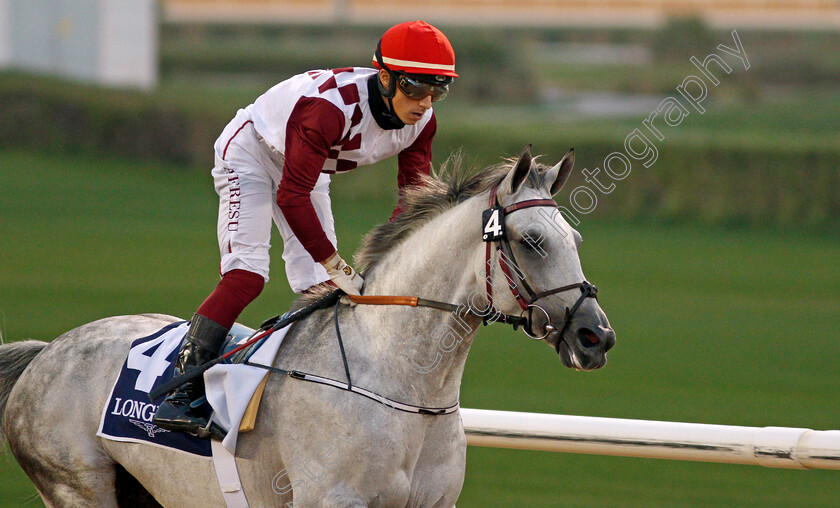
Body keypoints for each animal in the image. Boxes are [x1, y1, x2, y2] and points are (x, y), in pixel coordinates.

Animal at [1, 149, 616, 506]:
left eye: (576, 239)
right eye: (532, 241)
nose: (597, 336)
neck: (402, 383)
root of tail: (46, 352)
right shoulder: (330, 500)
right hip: (77, 486)